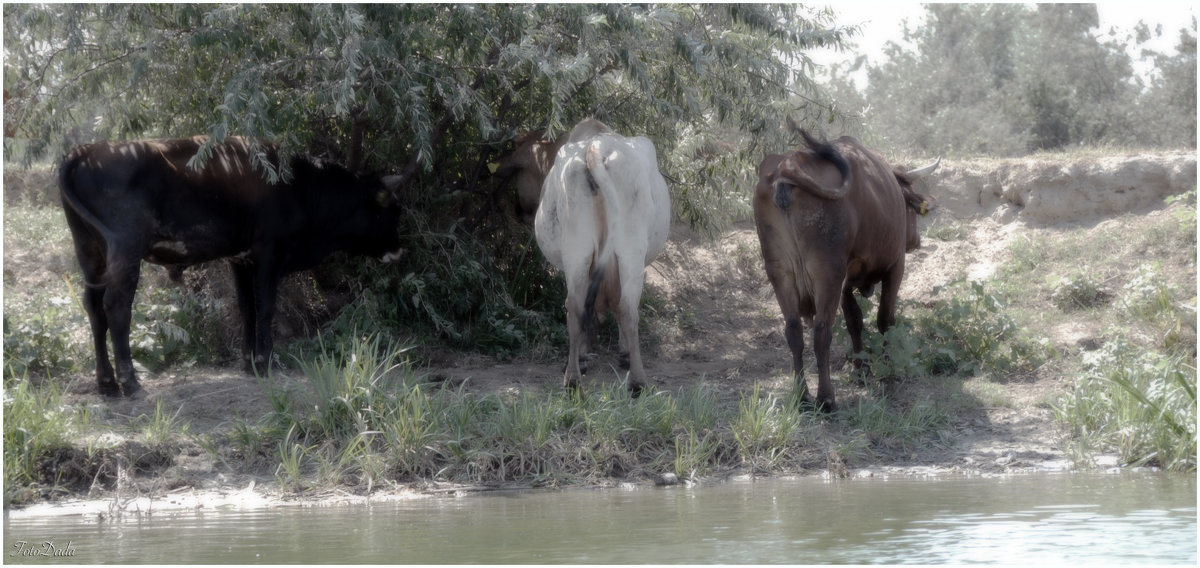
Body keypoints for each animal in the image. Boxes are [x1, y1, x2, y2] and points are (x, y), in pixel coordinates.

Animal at [58, 135, 405, 396]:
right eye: (392, 209)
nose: (398, 250)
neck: (298, 185)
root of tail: (82, 151)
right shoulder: (268, 254)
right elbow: (266, 307)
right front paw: (266, 361)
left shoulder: (240, 259)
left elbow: (246, 307)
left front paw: (249, 362)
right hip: (126, 252)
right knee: (117, 308)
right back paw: (130, 382)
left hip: (90, 253)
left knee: (94, 308)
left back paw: (106, 383)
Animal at [532, 119, 672, 393]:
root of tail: (596, 147)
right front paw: (622, 353)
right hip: (630, 250)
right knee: (626, 308)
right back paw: (637, 380)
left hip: (577, 249)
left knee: (576, 306)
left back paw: (573, 378)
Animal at [753, 130, 940, 410]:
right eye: (910, 207)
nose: (916, 240)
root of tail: (788, 165)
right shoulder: (894, 267)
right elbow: (885, 320)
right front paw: (888, 373)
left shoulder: (845, 282)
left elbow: (854, 321)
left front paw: (862, 368)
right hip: (826, 272)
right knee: (822, 331)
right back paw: (826, 399)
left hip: (779, 270)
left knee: (794, 329)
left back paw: (802, 395)